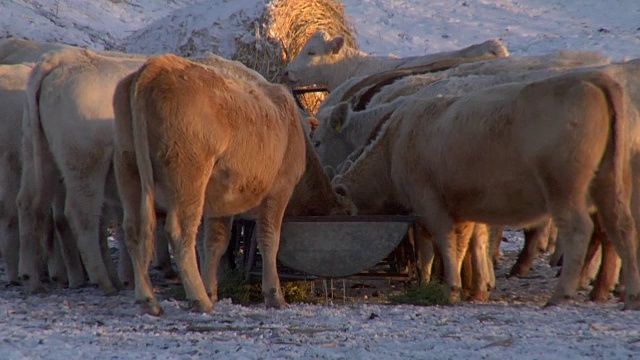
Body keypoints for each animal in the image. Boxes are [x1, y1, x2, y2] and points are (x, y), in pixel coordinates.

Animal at [332, 71, 640, 310]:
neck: (396, 142)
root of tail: (592, 78)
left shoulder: (429, 203)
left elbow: (443, 244)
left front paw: (450, 288)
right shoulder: (463, 206)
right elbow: (470, 242)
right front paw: (471, 288)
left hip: (564, 189)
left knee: (580, 231)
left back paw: (561, 294)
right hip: (609, 184)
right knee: (621, 228)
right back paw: (630, 295)